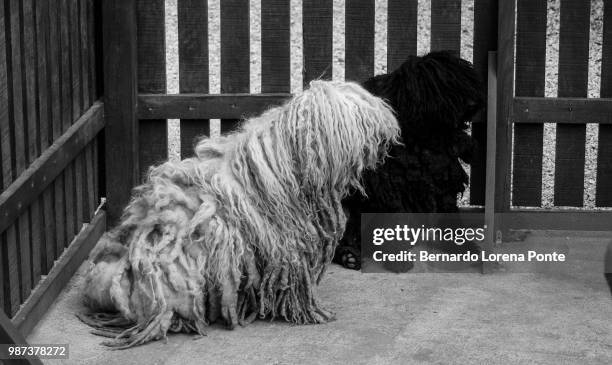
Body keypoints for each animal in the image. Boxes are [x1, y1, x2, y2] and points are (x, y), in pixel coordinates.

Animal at [77, 80, 402, 346]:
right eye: (358, 114)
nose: (386, 131)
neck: (280, 166)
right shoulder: (287, 252)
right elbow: (294, 288)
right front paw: (311, 313)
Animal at [332, 49, 486, 268]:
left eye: (466, 79)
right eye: (443, 84)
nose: (473, 103)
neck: (422, 136)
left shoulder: (442, 183)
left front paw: (464, 247)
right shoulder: (390, 188)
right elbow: (396, 220)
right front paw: (398, 258)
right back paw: (349, 254)